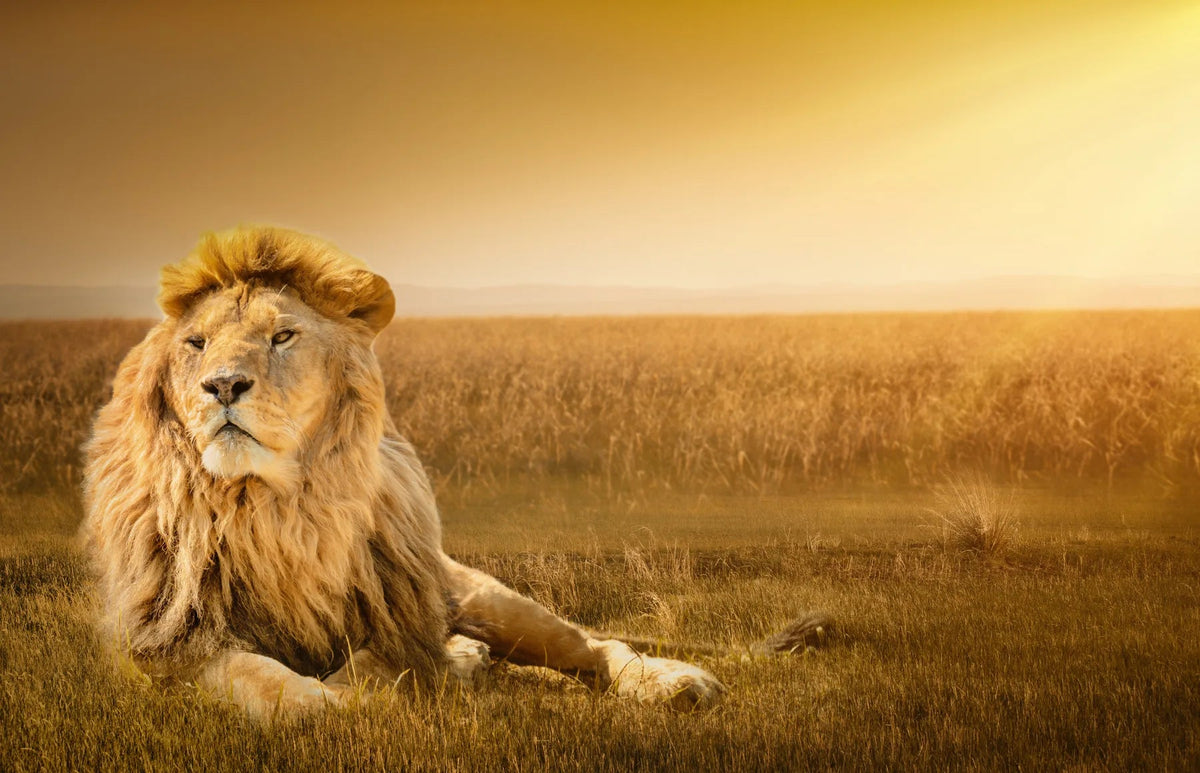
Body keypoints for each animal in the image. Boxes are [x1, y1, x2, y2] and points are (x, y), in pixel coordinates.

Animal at [81, 226, 827, 718]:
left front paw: (423, 672)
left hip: (489, 598)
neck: (274, 506)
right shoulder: (170, 643)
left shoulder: (399, 612)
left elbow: (377, 664)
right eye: (196, 343)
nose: (223, 385)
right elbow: (277, 687)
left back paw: (670, 682)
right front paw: (349, 698)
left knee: (594, 646)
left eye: (282, 335)